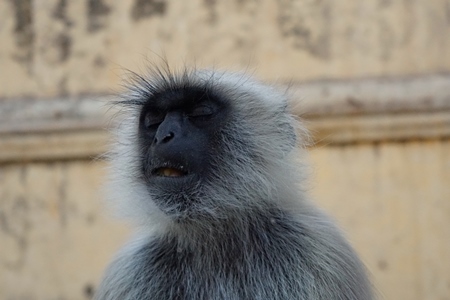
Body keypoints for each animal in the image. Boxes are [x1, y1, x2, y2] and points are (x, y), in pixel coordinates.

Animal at [96, 67, 374, 298]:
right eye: (154, 120)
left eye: (200, 113)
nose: (163, 136)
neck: (214, 237)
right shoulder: (130, 271)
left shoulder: (318, 249)